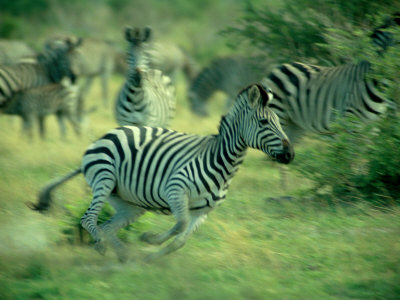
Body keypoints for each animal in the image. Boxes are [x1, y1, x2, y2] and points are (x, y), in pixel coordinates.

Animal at [28, 83, 294, 262]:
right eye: (263, 123)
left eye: (279, 122)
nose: (290, 154)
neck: (221, 162)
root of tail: (102, 137)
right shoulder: (175, 190)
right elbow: (179, 225)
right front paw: (149, 240)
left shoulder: (204, 211)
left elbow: (180, 240)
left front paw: (152, 257)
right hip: (104, 179)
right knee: (88, 219)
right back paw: (103, 247)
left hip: (130, 204)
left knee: (108, 226)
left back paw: (125, 256)